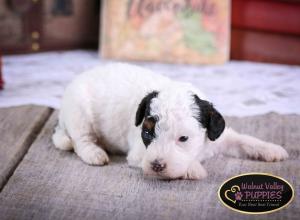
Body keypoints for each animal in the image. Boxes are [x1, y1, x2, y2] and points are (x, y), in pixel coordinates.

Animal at [52, 62, 290, 180]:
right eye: (147, 133)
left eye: (183, 138)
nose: (157, 166)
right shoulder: (139, 153)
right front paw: (193, 169)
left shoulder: (218, 137)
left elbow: (242, 139)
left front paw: (271, 149)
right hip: (79, 112)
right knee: (80, 140)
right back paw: (94, 153)